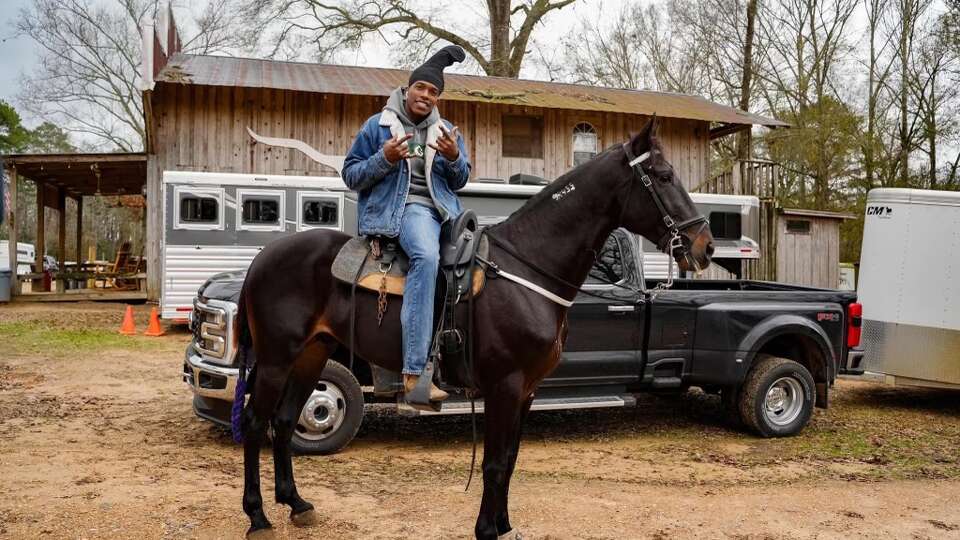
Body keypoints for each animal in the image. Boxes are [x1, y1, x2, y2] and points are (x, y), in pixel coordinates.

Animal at [232, 116, 712, 536]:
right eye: (663, 176)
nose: (704, 246)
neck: (526, 268)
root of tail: (261, 260)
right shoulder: (505, 384)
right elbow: (495, 463)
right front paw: (486, 529)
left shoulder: (527, 390)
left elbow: (511, 460)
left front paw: (505, 525)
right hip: (276, 358)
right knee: (256, 422)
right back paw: (257, 516)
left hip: (312, 354)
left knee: (284, 420)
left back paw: (296, 504)